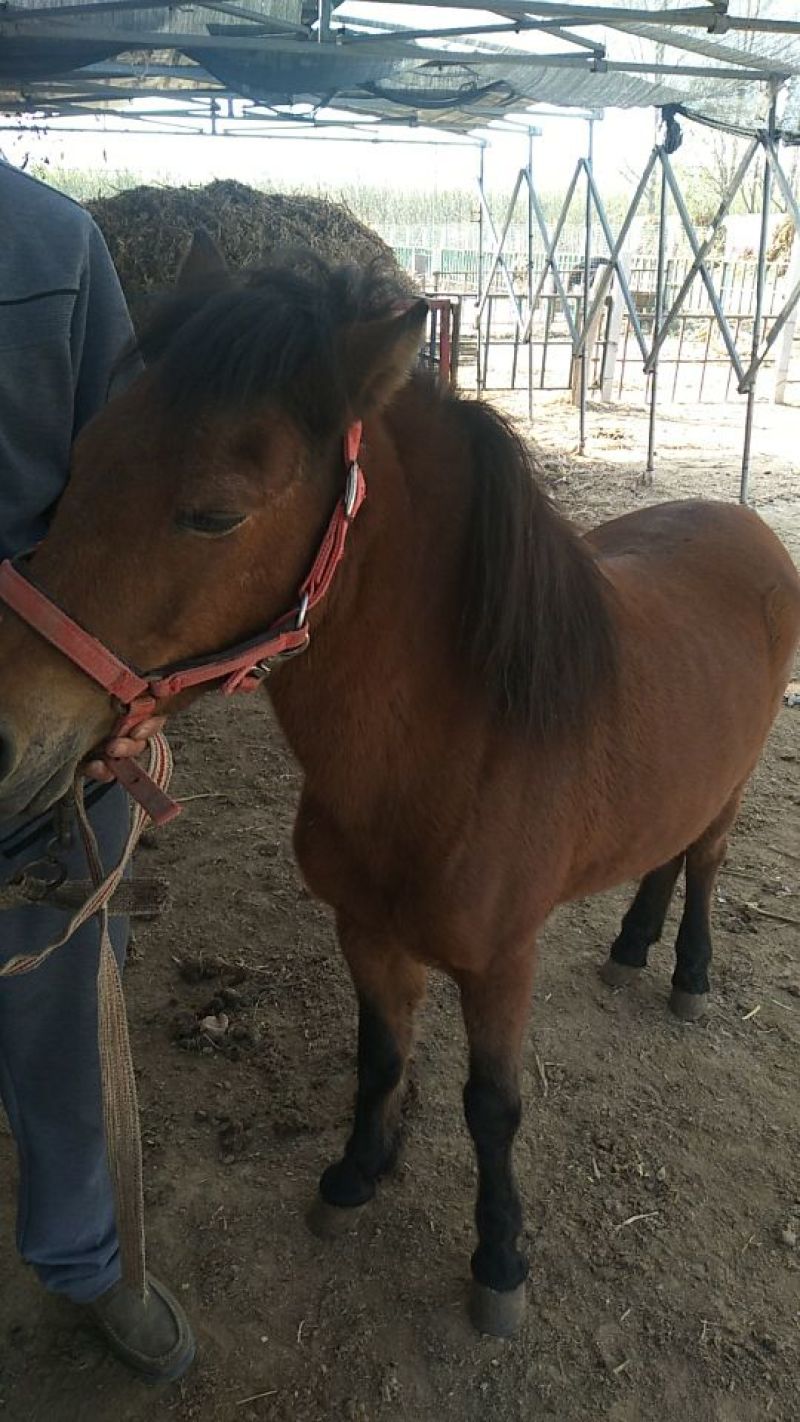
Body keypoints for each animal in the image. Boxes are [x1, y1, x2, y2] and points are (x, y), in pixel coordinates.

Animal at [0, 241, 797, 1339]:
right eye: (82, 463)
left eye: (214, 514)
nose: (7, 733)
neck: (449, 758)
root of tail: (743, 523)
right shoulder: (365, 931)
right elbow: (381, 1056)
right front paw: (354, 1175)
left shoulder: (501, 964)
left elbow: (492, 1106)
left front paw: (499, 1259)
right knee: (661, 859)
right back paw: (631, 946)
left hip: (728, 792)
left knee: (704, 865)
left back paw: (682, 971)